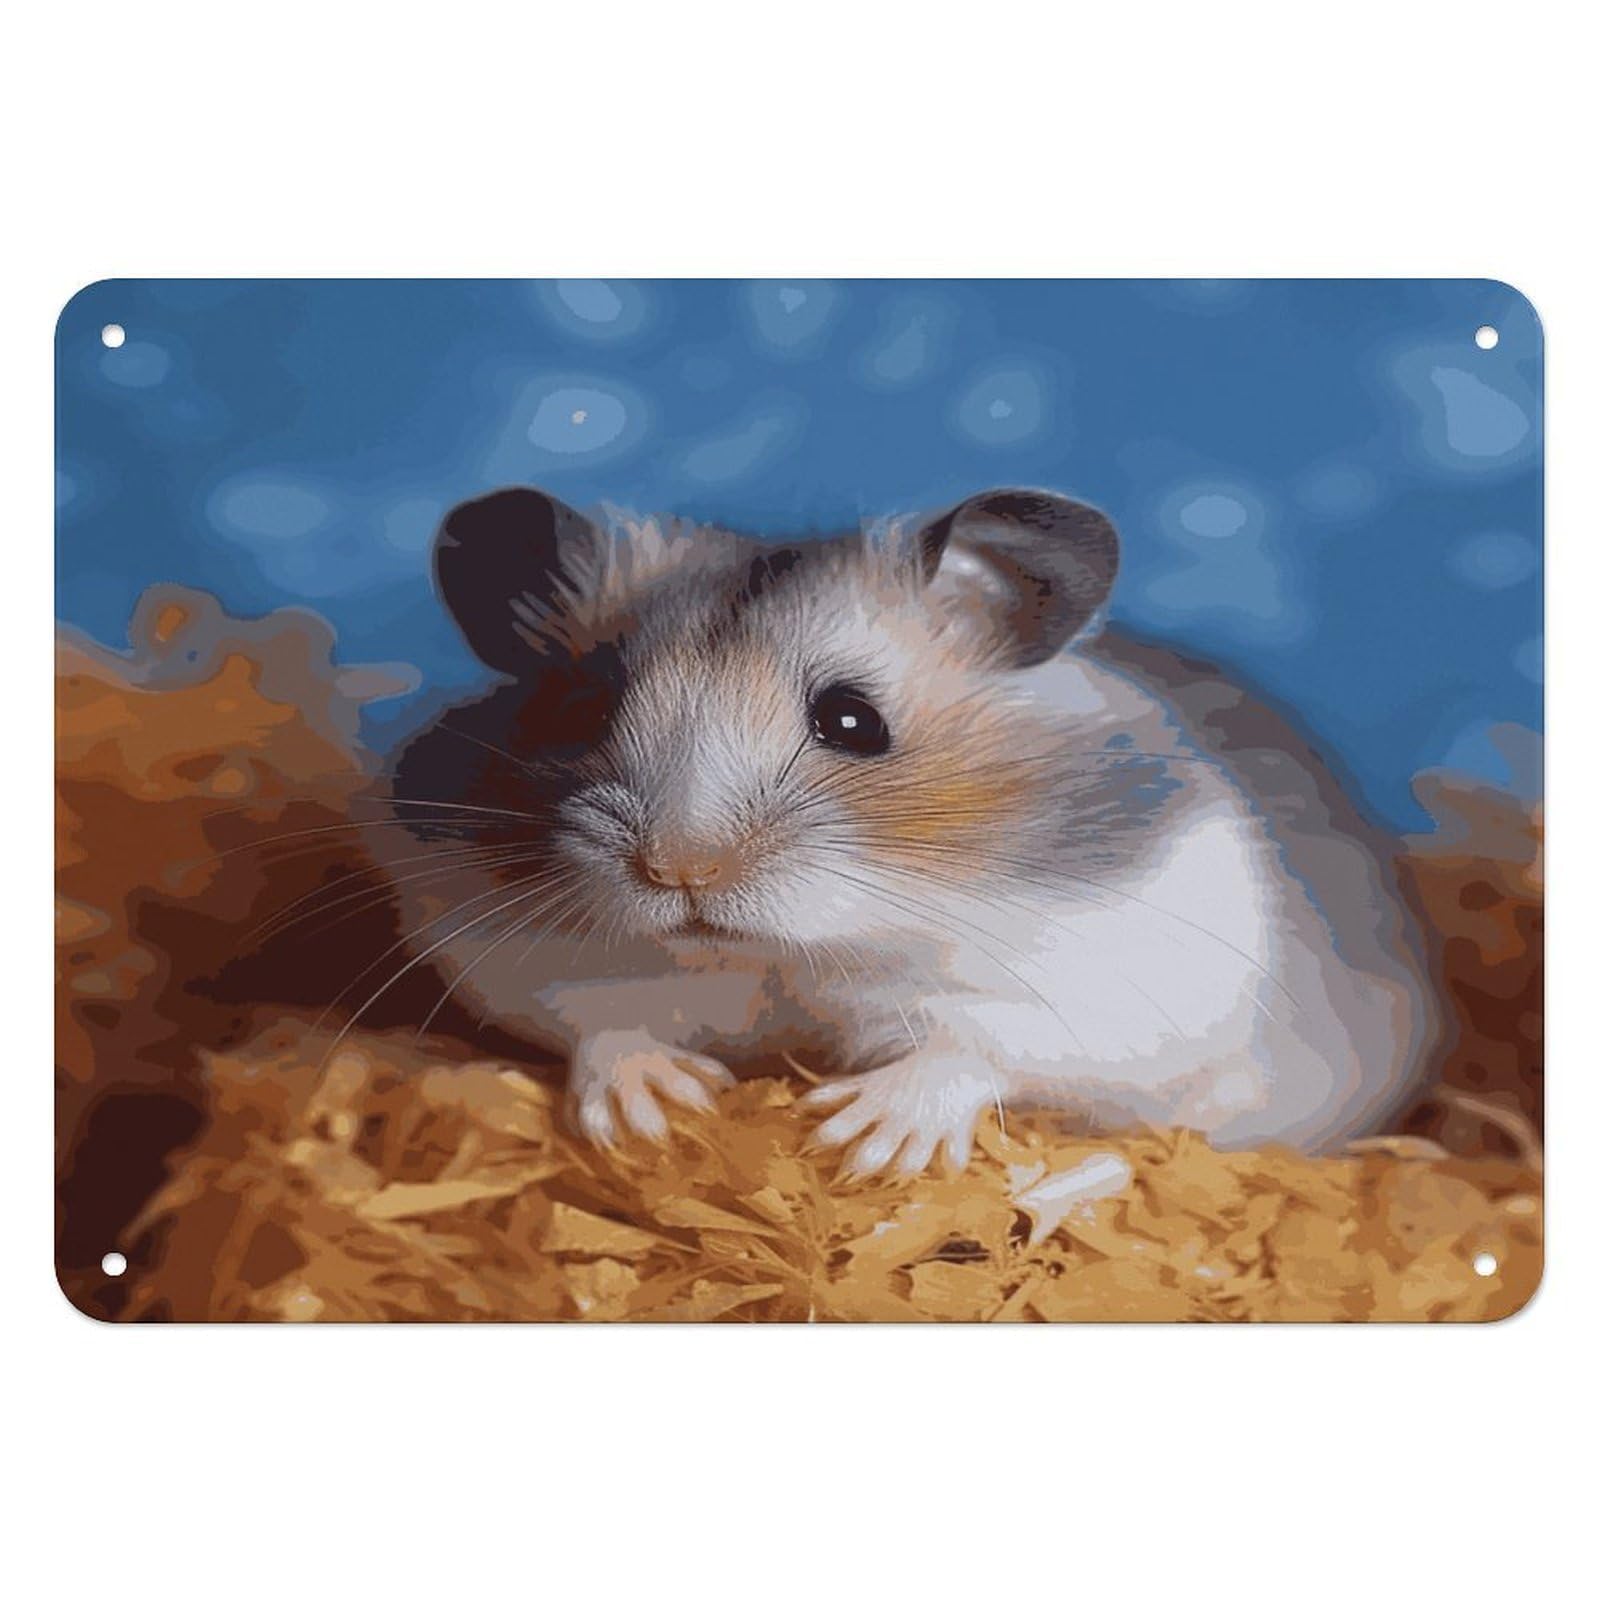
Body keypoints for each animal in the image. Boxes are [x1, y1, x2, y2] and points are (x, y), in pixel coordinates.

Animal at [375, 485, 1437, 1180]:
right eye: (585, 712)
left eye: (853, 722)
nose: (679, 870)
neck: (798, 953)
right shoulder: (491, 934)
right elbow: (592, 1019)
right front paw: (656, 1114)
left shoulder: (1136, 973)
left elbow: (984, 1043)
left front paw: (861, 1140)